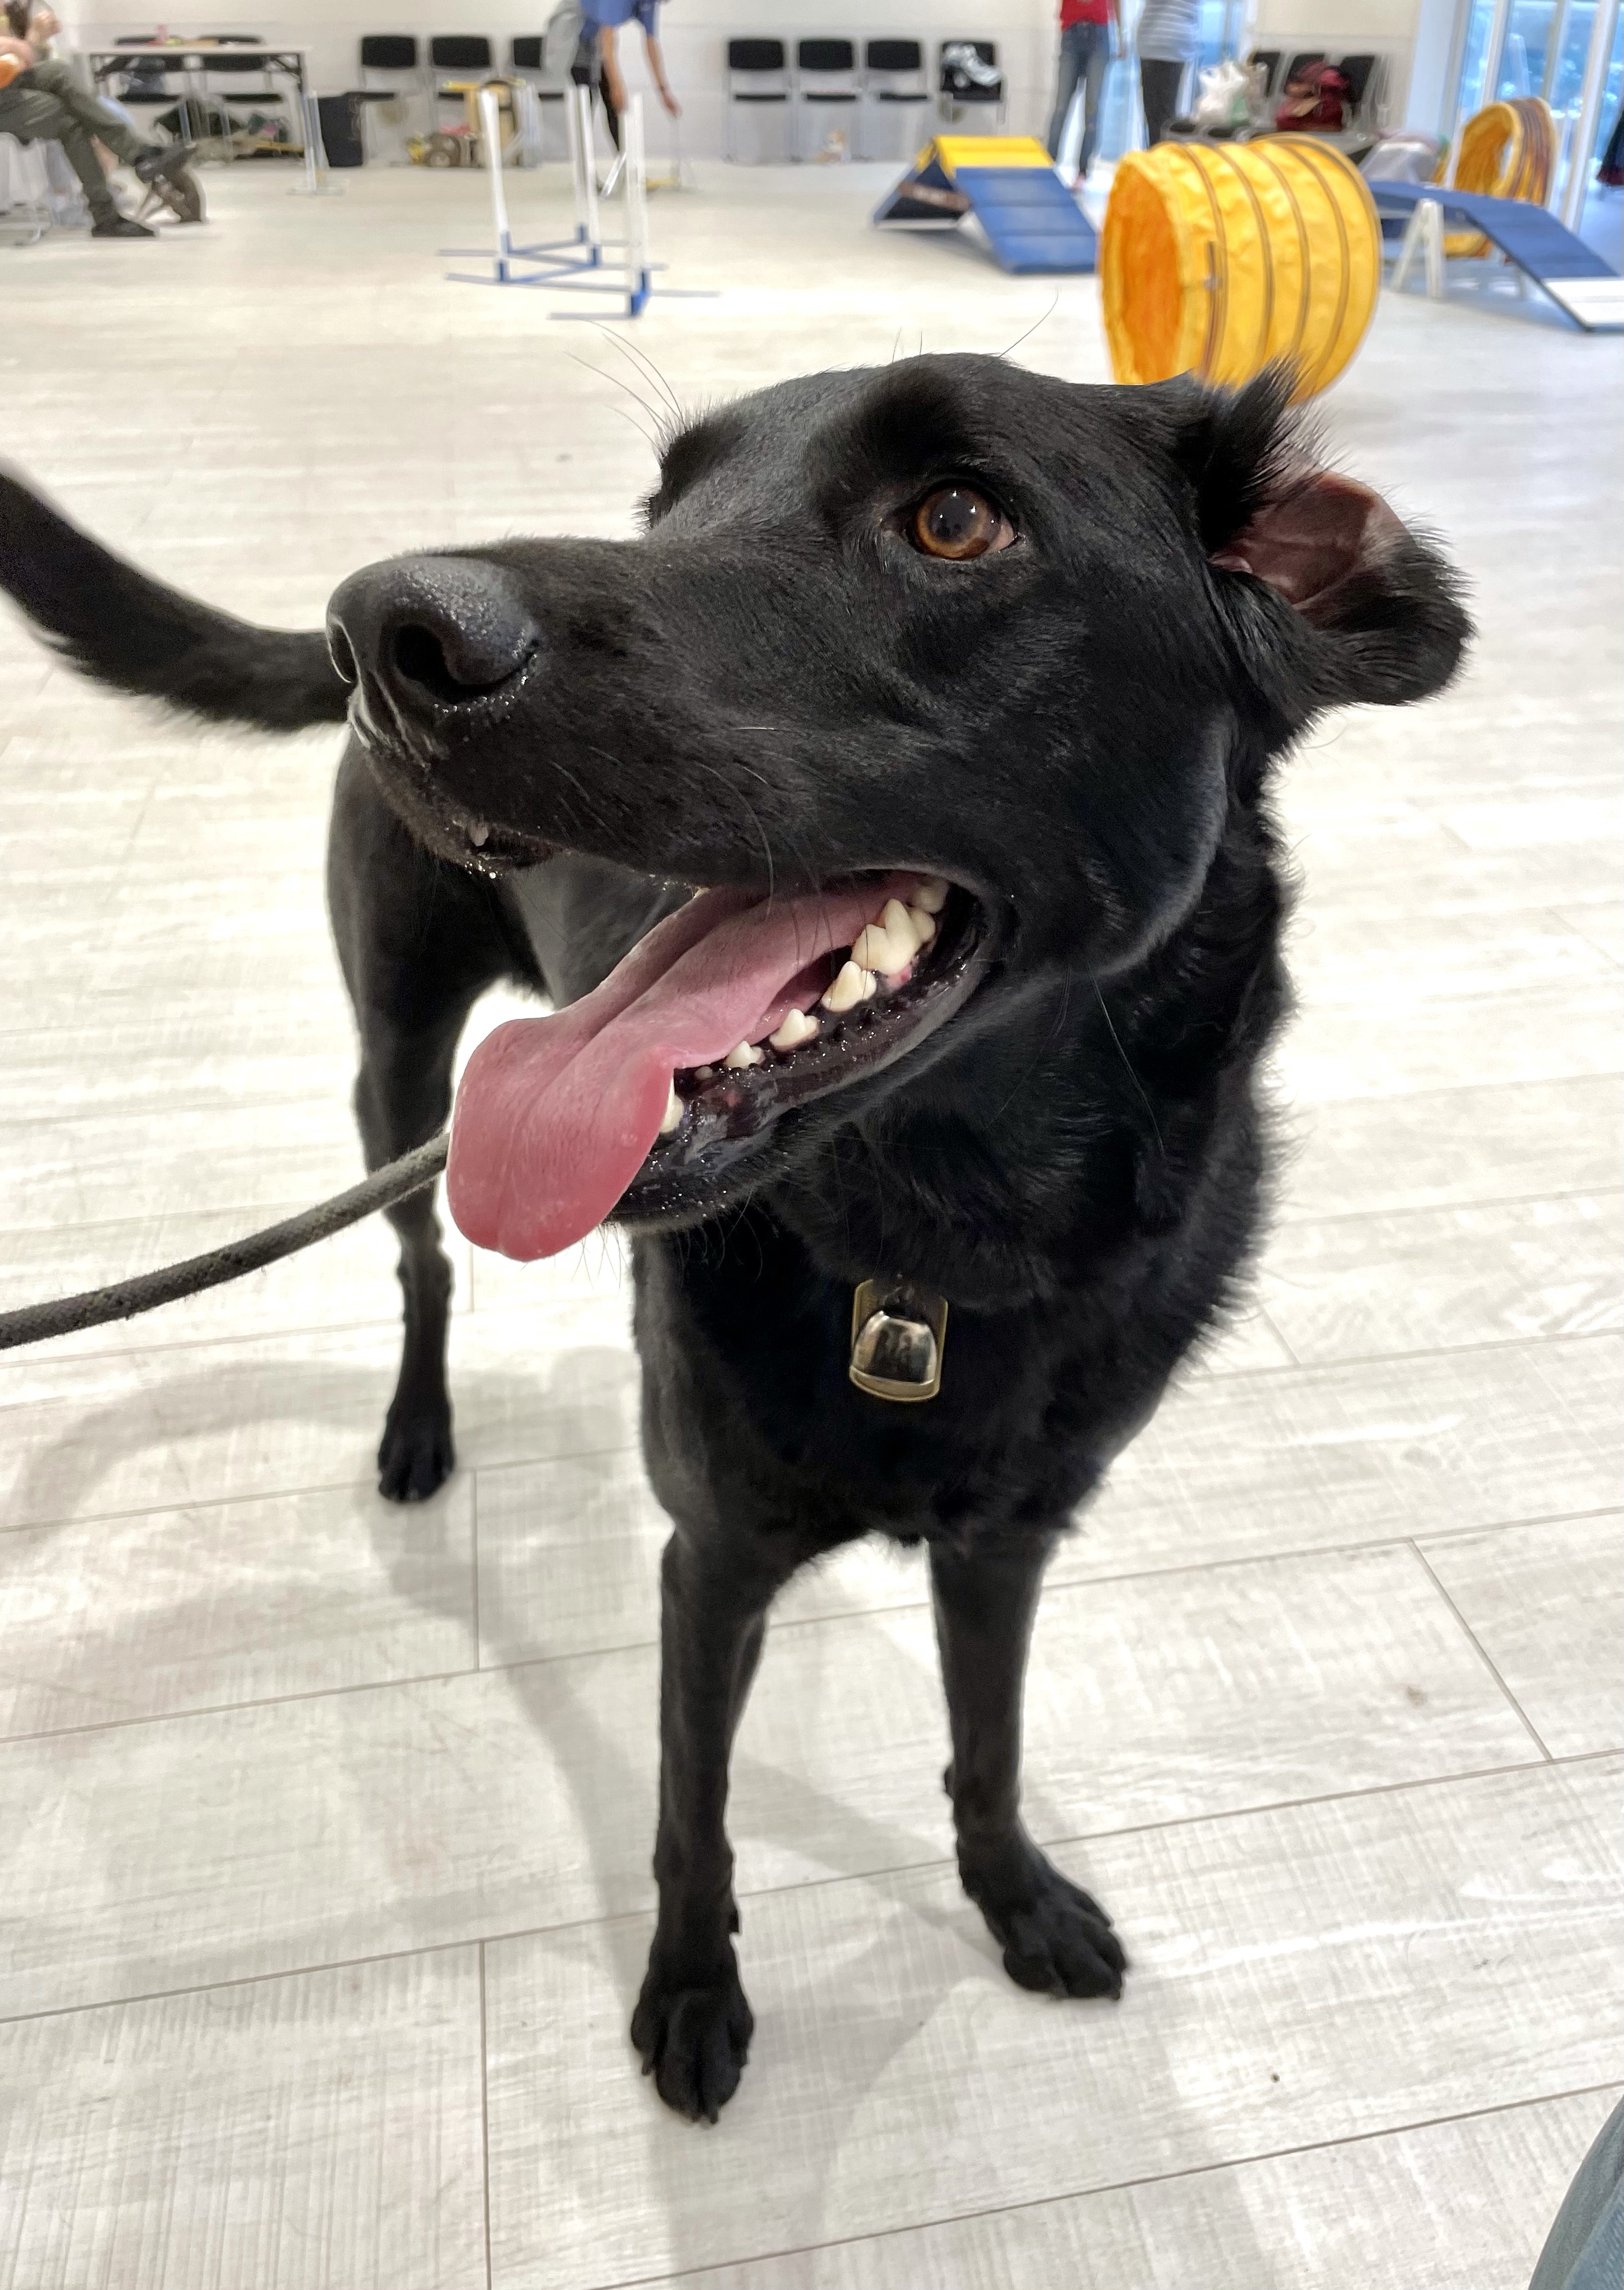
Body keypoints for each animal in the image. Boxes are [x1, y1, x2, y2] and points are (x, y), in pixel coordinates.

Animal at [0, 357, 1468, 2120]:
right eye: (668, 504)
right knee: (424, 1260)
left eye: (955, 517)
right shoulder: (708, 1560)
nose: (385, 634)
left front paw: (1014, 1897)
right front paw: (694, 1989)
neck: (937, 1250)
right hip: (398, 1062)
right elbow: (690, 1811)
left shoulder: (1008, 1542)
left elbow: (990, 1741)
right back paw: (418, 1430)